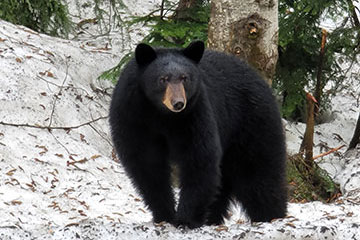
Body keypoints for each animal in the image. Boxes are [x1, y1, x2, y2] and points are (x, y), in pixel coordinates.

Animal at [108, 41, 288, 229]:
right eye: (163, 79)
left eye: (184, 78)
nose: (178, 103)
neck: (162, 115)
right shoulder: (134, 117)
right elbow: (146, 164)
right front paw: (164, 215)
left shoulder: (194, 114)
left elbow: (199, 159)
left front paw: (185, 219)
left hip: (251, 124)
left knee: (259, 174)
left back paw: (272, 216)